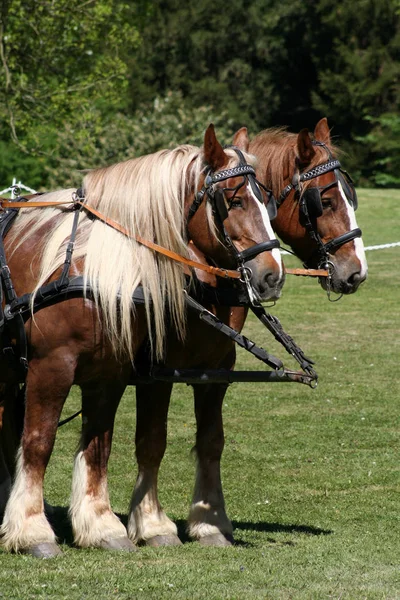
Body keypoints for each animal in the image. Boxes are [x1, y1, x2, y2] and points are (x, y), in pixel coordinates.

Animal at [0, 123, 284, 556]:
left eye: (267, 202)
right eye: (233, 201)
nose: (273, 275)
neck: (98, 271)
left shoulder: (109, 374)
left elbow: (100, 447)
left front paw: (102, 526)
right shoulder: (51, 368)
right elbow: (38, 442)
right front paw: (32, 531)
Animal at [129, 117, 368, 548]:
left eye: (351, 197)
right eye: (323, 202)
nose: (356, 271)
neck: (199, 271)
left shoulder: (218, 366)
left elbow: (211, 441)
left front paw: (209, 522)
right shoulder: (156, 371)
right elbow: (152, 442)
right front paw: (152, 525)